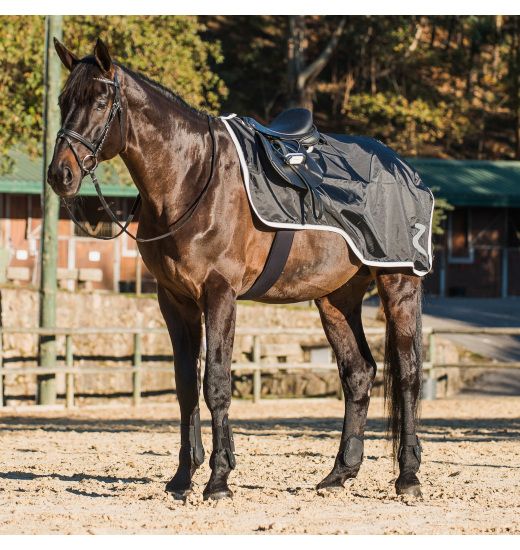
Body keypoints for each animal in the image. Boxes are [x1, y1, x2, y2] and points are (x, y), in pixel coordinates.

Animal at [46, 40, 424, 504]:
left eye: (100, 102)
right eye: (63, 101)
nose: (59, 174)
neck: (190, 179)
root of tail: (403, 168)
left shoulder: (220, 294)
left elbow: (216, 383)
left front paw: (219, 479)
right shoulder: (175, 301)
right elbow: (186, 386)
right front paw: (183, 477)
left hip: (398, 284)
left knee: (407, 375)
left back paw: (408, 477)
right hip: (336, 299)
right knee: (359, 374)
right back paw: (339, 473)